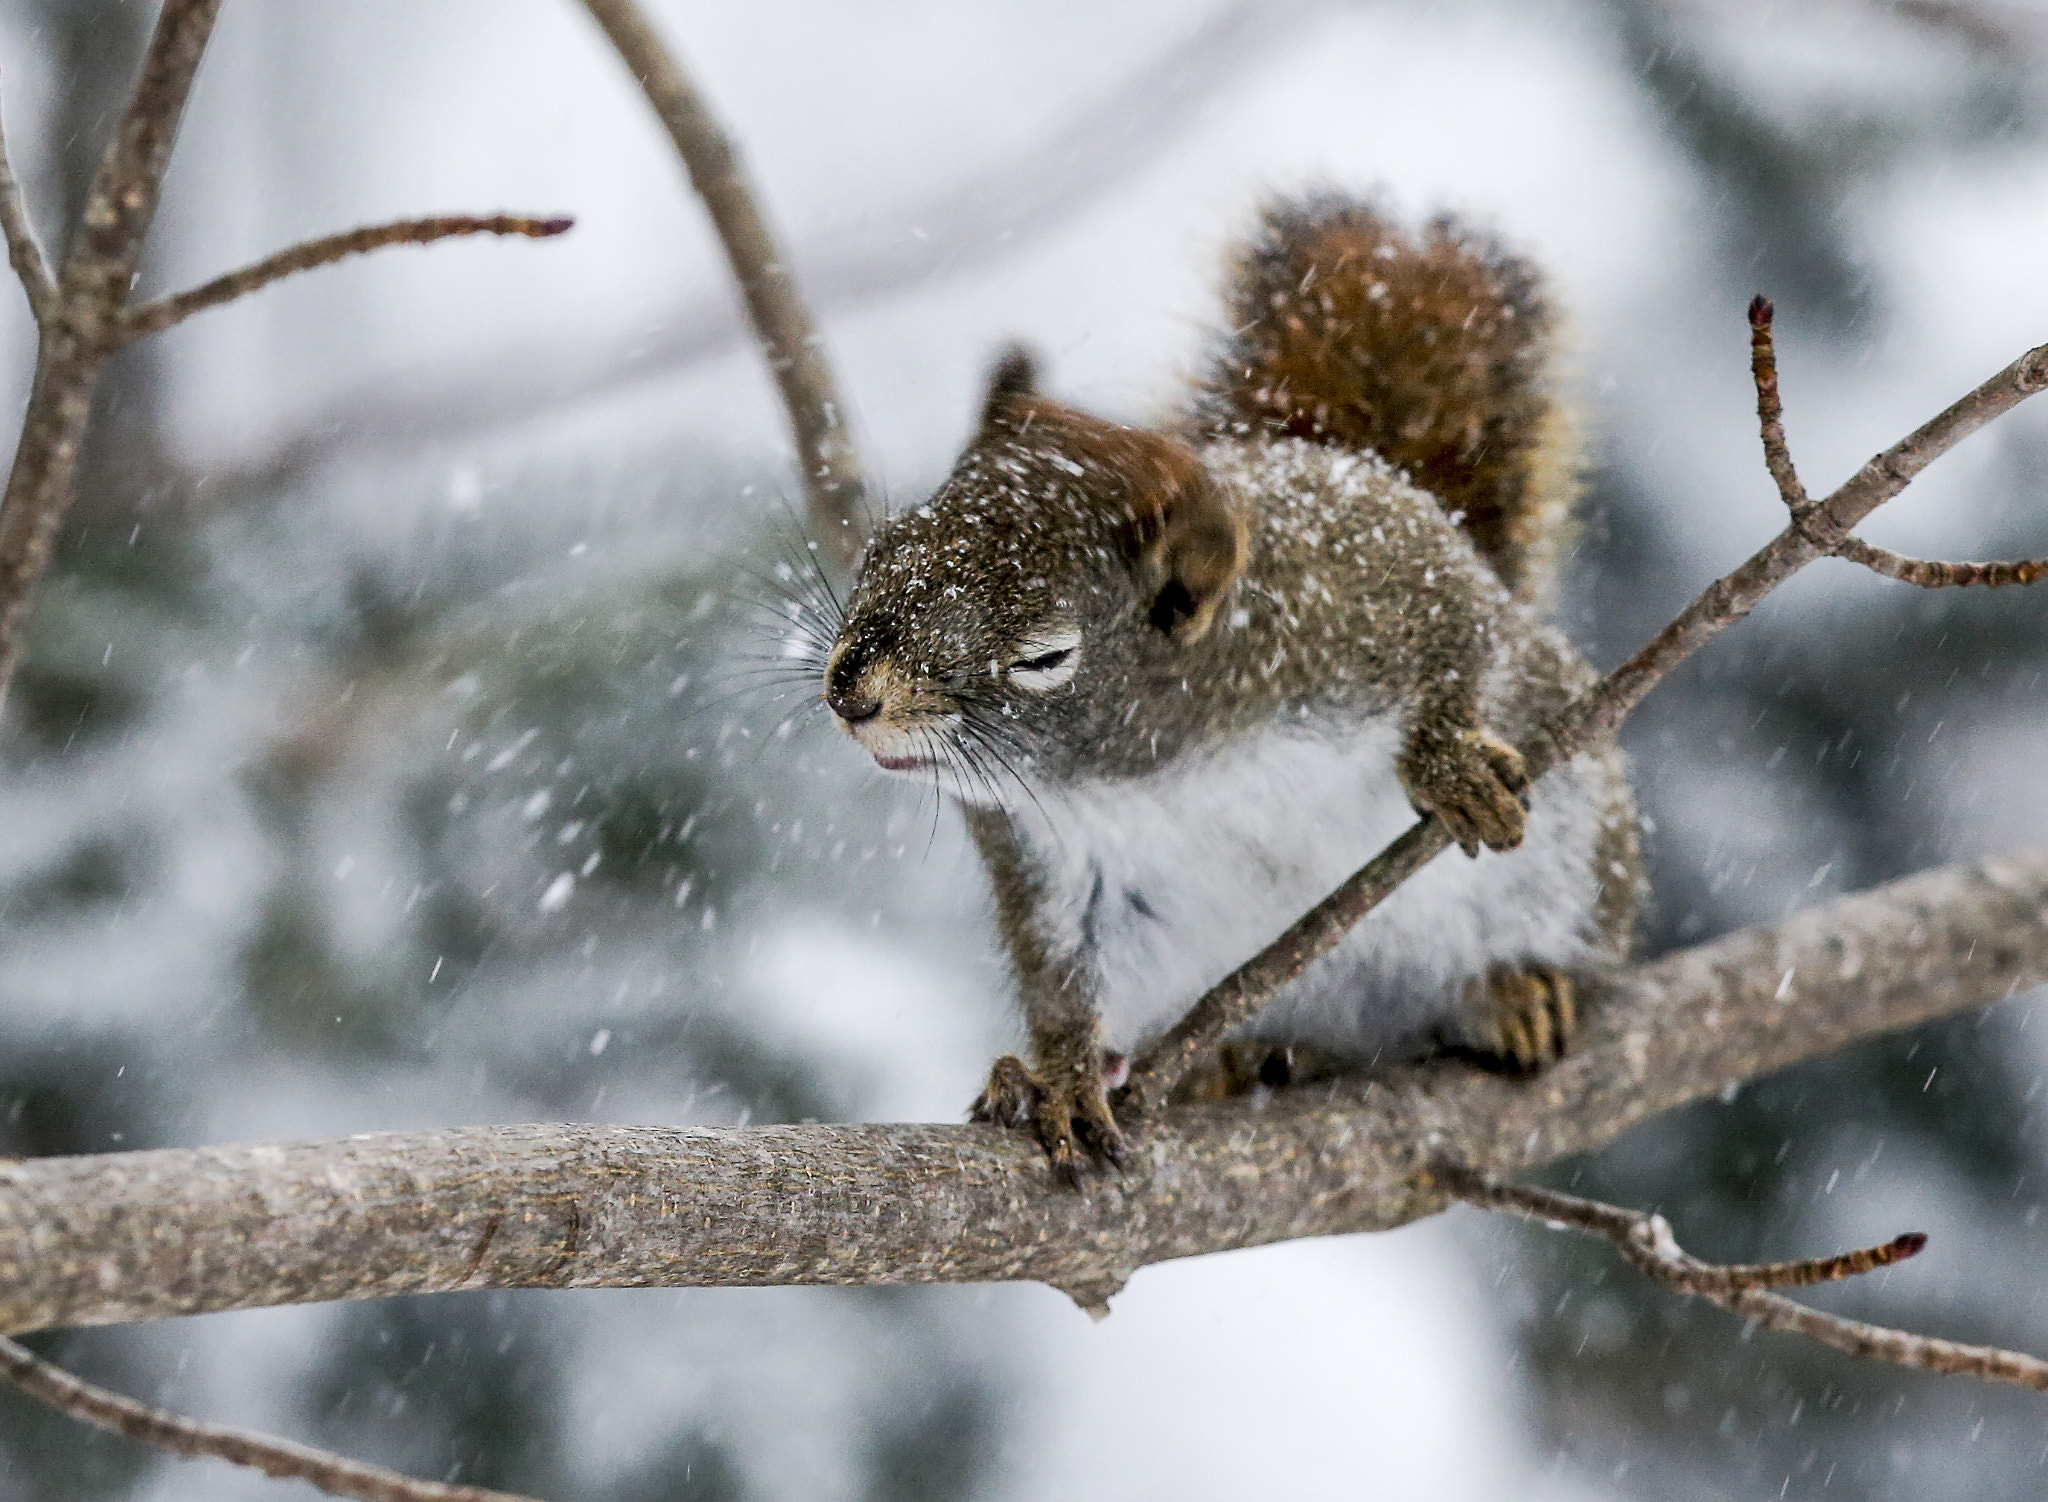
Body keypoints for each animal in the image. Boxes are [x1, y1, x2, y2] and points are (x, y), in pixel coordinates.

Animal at [811, 193, 1630, 1180]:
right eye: (883, 546)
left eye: (1045, 659)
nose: (851, 694)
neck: (1163, 767)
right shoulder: (1059, 869)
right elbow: (1063, 982)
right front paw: (1058, 1080)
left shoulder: (1373, 585)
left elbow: (1455, 634)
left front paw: (1449, 765)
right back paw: (1233, 1063)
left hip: (1575, 866)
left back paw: (1514, 992)